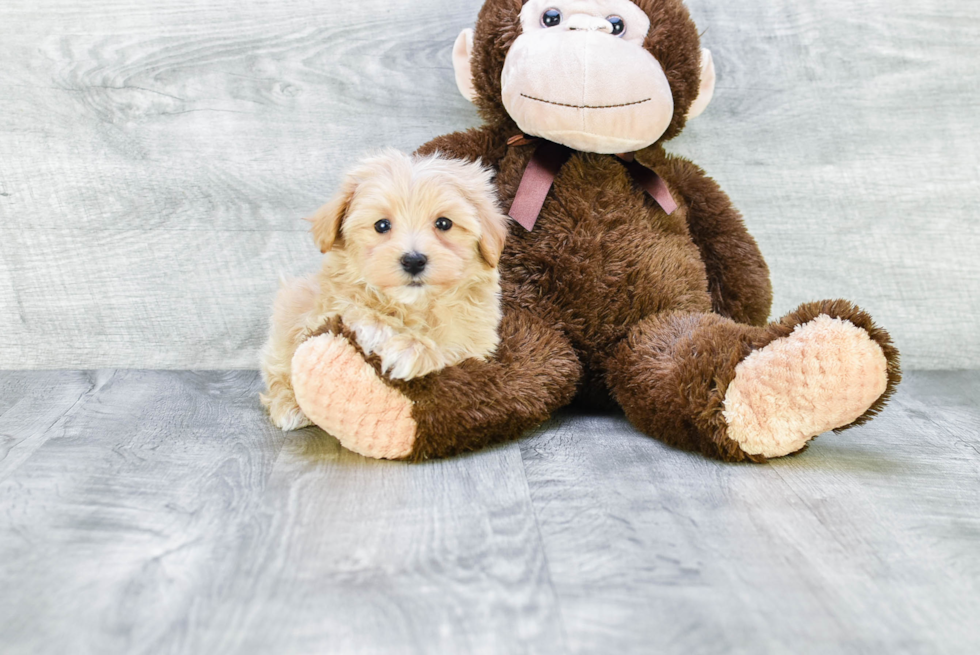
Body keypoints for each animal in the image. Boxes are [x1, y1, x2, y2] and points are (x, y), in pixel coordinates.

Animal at [260, 151, 506, 434]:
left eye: (444, 223)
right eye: (382, 225)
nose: (413, 260)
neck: (416, 306)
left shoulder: (473, 347)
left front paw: (415, 351)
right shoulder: (326, 309)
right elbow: (358, 312)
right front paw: (396, 339)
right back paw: (288, 406)